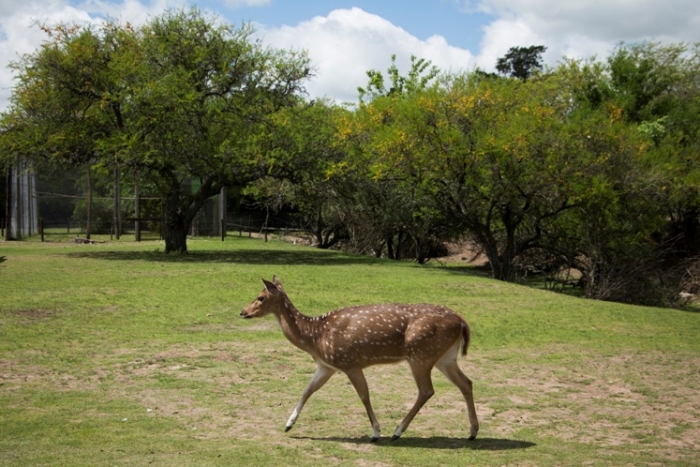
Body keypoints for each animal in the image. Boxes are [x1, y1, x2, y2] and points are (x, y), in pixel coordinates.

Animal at [242, 276, 482, 444]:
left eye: (260, 297)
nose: (243, 312)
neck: (316, 337)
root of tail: (462, 322)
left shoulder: (350, 362)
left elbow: (364, 396)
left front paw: (376, 432)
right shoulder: (327, 366)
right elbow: (307, 390)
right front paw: (288, 424)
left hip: (420, 354)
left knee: (427, 390)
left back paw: (397, 431)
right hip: (445, 357)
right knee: (466, 383)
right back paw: (472, 432)